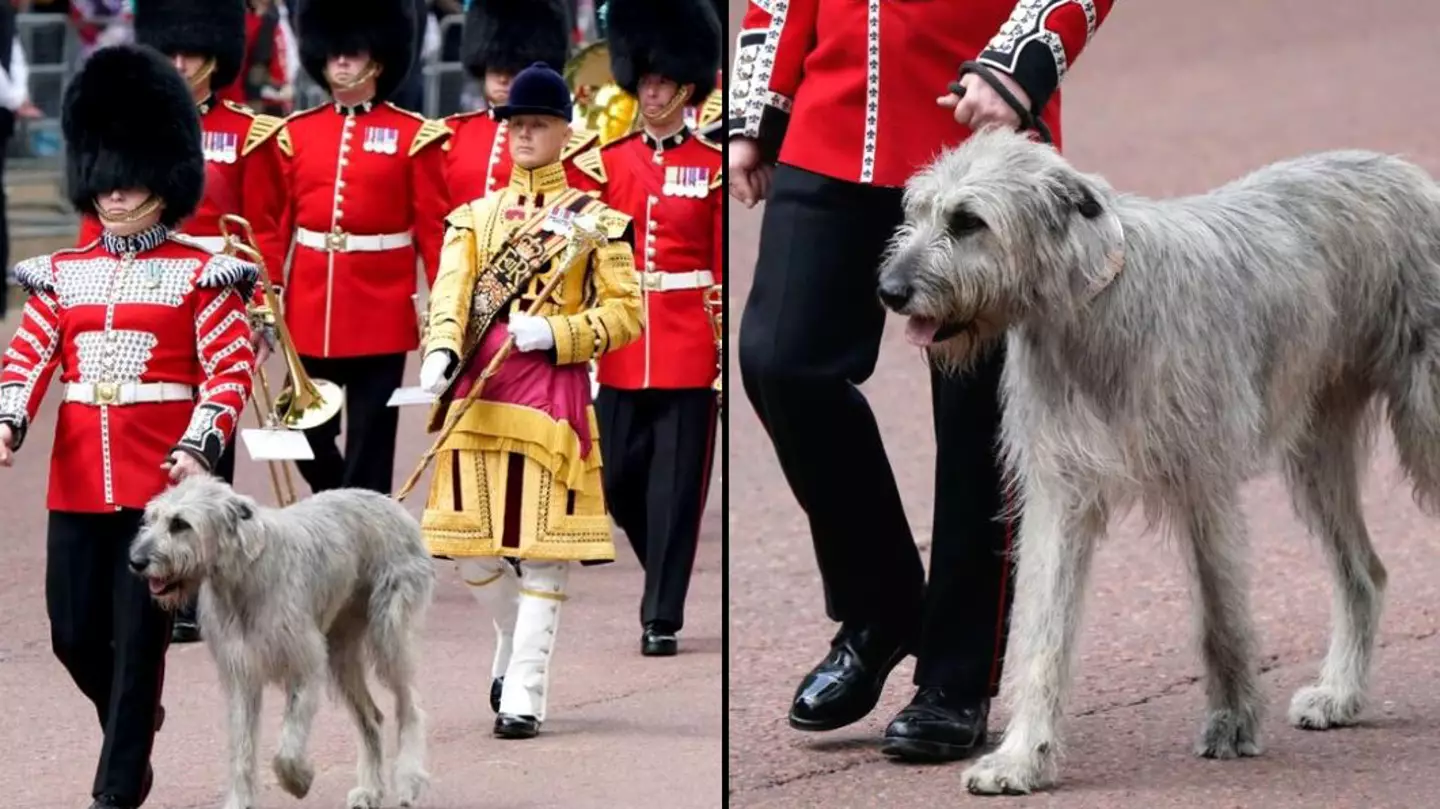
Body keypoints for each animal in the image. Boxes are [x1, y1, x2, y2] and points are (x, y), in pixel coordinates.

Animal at [128, 472, 432, 806]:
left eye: (180, 524)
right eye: (151, 518)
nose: (135, 561)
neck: (243, 576)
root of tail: (392, 503)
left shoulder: (305, 667)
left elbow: (287, 746)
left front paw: (298, 779)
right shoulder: (241, 675)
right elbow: (242, 750)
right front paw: (240, 801)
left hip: (388, 634)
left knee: (409, 706)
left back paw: (408, 779)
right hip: (341, 653)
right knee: (372, 717)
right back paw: (370, 790)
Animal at [869, 128, 1440, 788]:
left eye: (968, 221)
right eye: (915, 212)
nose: (889, 291)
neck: (1089, 311)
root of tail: (1414, 177)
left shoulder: (1203, 481)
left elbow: (1220, 615)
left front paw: (1232, 722)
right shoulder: (1061, 490)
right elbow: (1044, 630)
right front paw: (1022, 755)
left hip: (1423, 424)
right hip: (1317, 449)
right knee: (1363, 573)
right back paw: (1341, 694)